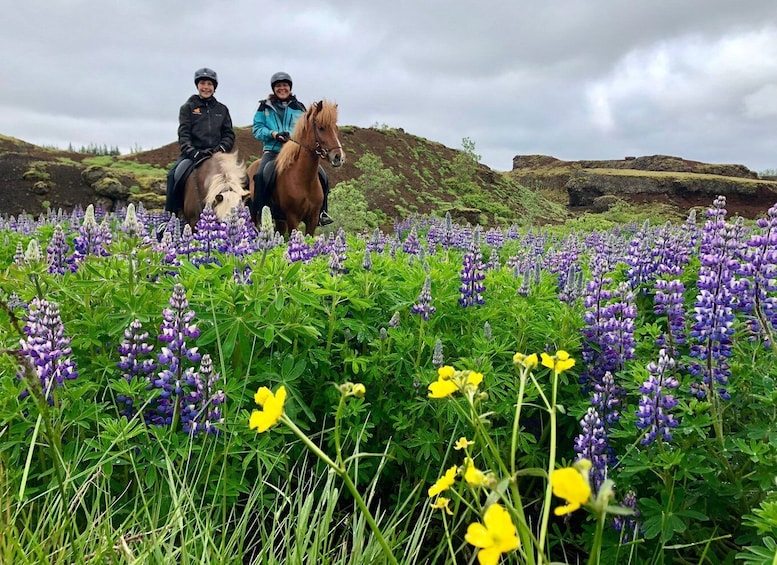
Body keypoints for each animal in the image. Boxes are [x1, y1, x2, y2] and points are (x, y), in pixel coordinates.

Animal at [247, 100, 344, 235]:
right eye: (321, 128)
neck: (304, 179)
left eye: (336, 128)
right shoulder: (293, 218)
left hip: (280, 220)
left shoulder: (313, 219)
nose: (338, 157)